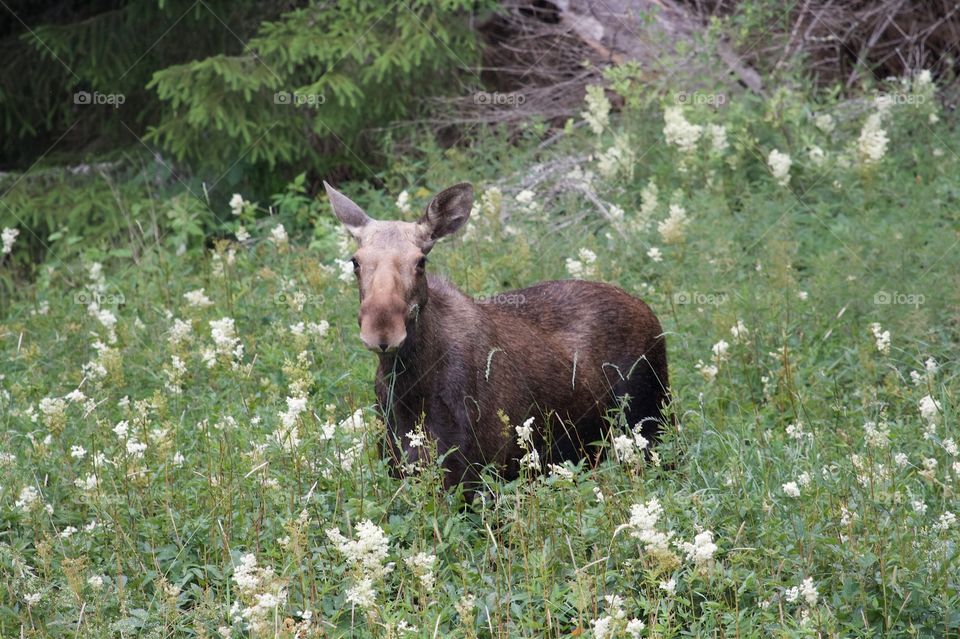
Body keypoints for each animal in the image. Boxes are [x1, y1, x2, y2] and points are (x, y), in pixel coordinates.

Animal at [326, 182, 672, 492]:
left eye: (420, 261)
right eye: (355, 261)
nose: (382, 331)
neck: (410, 389)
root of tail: (649, 312)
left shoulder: (475, 475)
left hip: (652, 425)